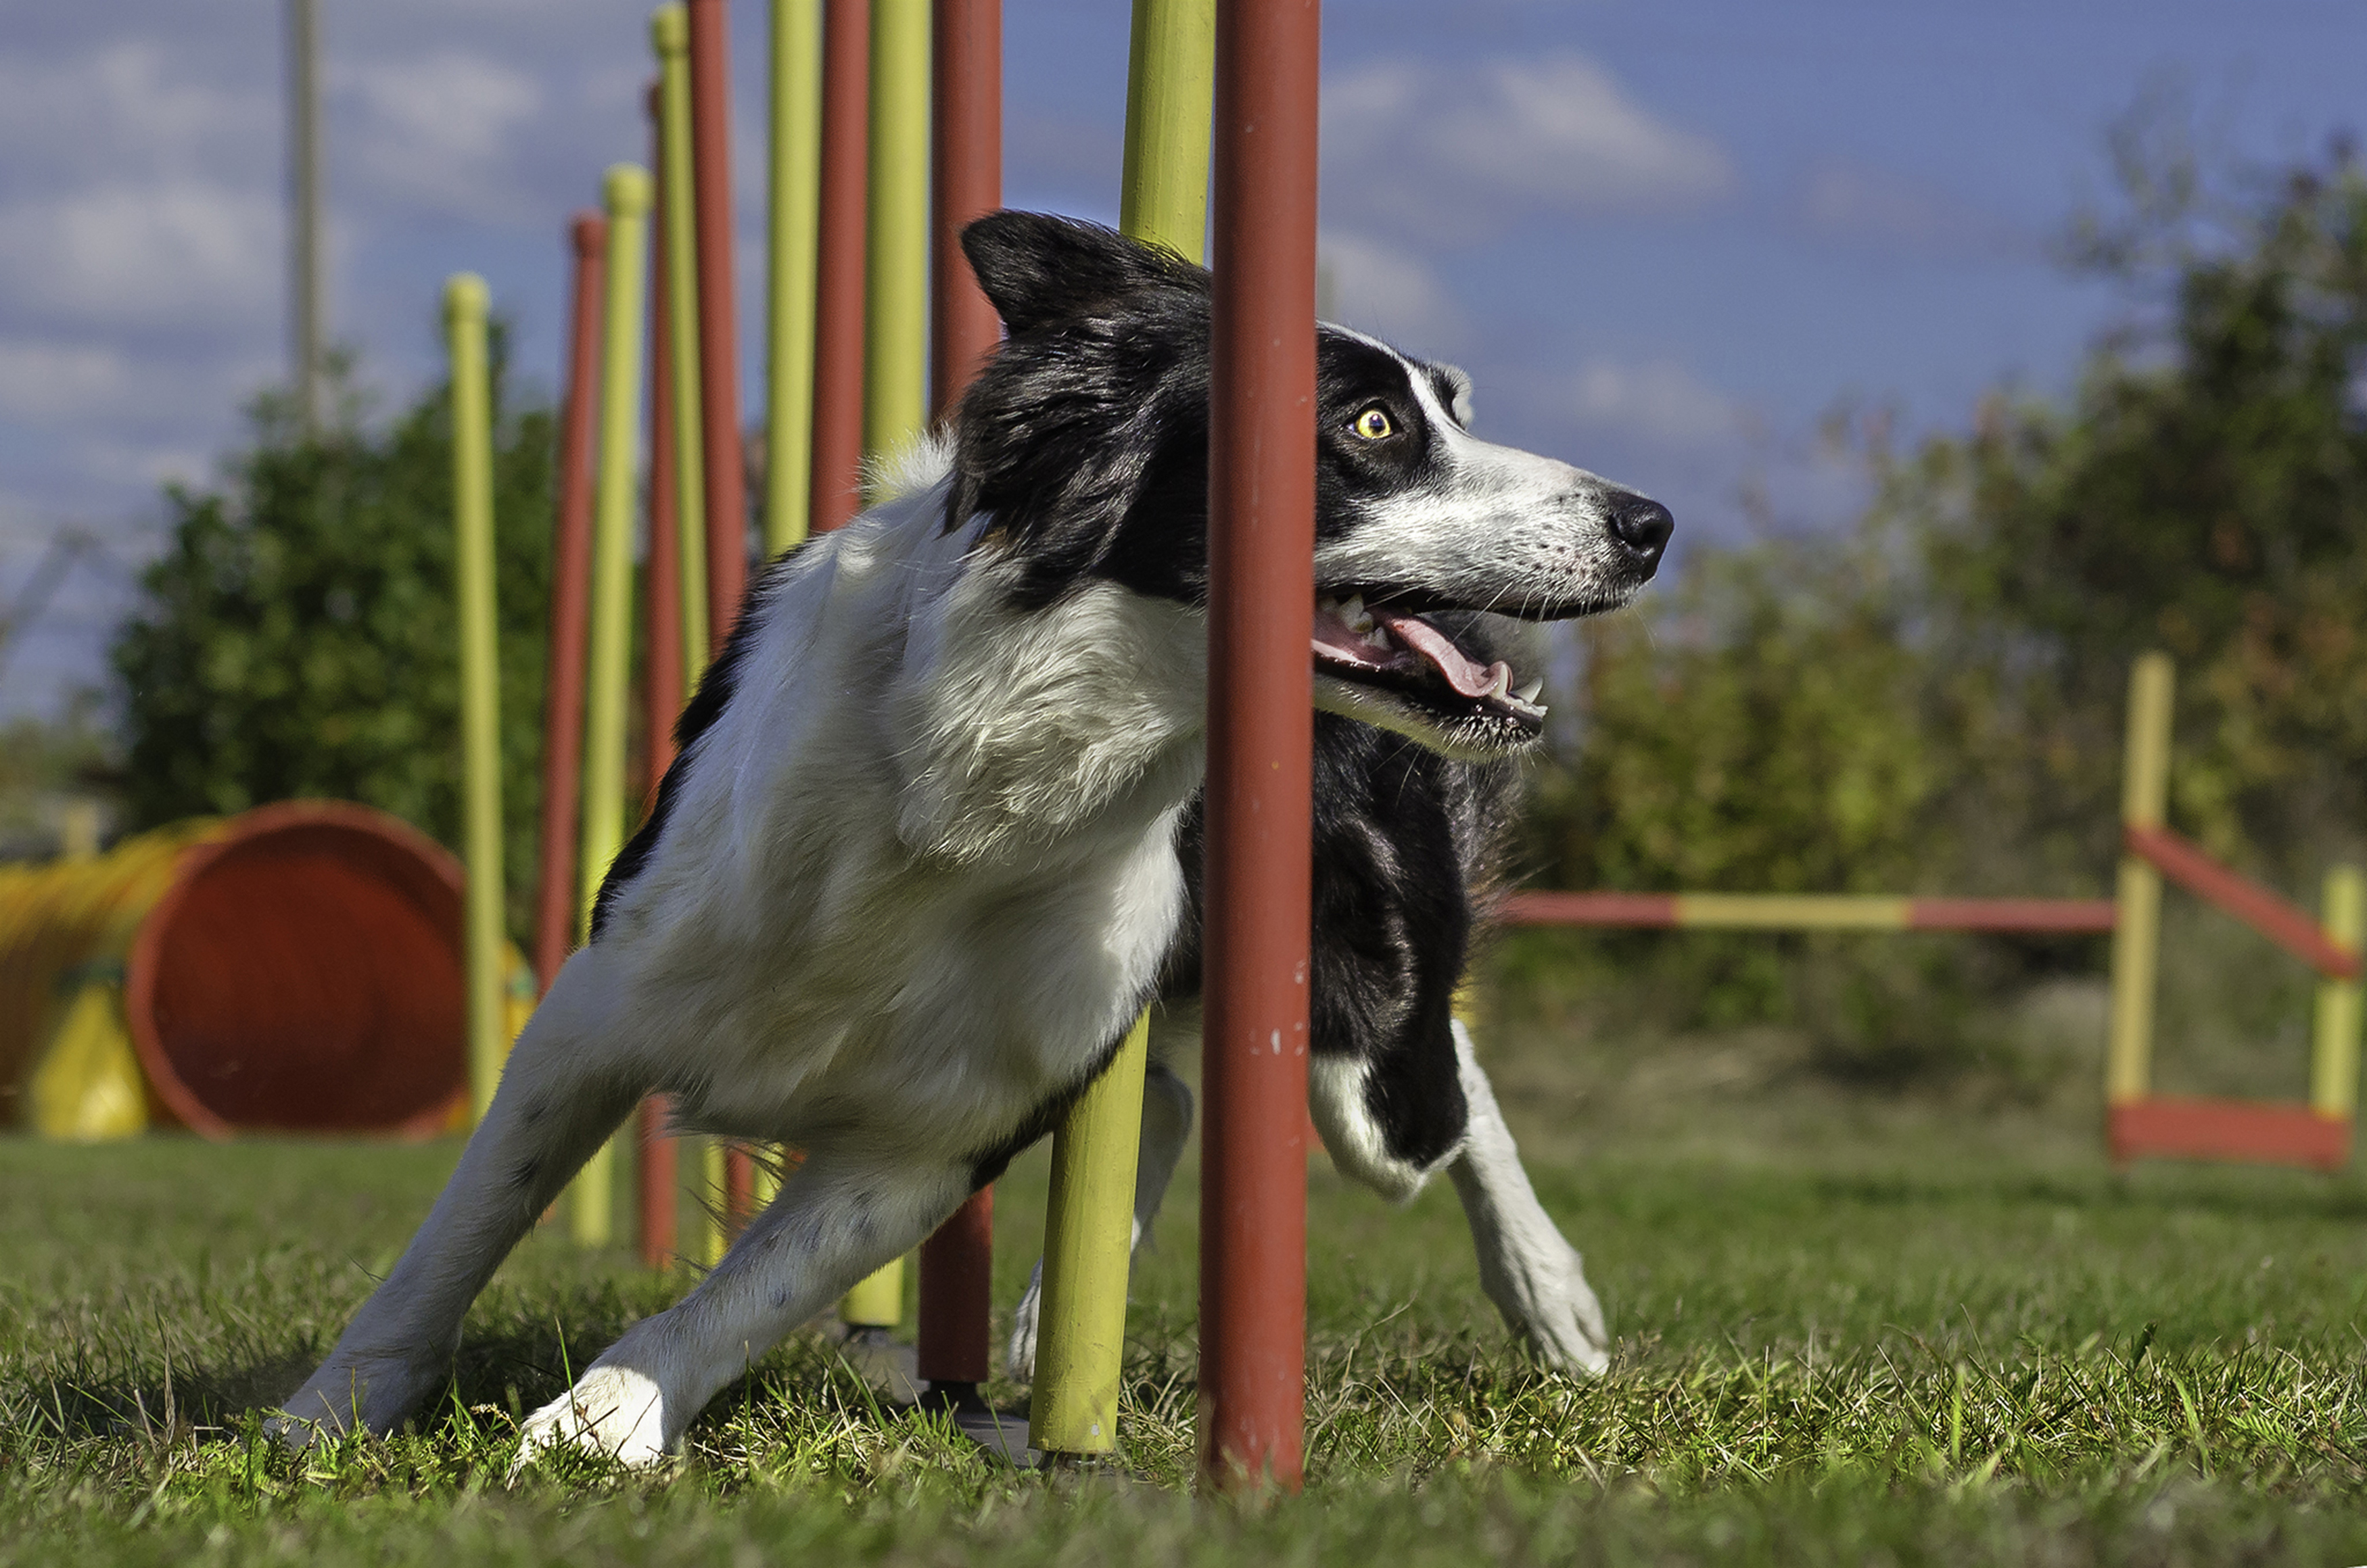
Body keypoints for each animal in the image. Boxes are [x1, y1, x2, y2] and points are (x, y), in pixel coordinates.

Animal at [277, 212, 1676, 1475]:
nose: (1651, 522)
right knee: (1184, 1091)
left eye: (1450, 407)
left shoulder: (936, 1132)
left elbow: (742, 1294)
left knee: (1441, 1080)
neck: (991, 771)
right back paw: (1063, 1318)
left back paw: (1549, 1293)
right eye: (1373, 426)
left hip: (1361, 1046)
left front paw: (602, 1421)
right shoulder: (603, 996)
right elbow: (460, 1227)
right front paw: (327, 1411)